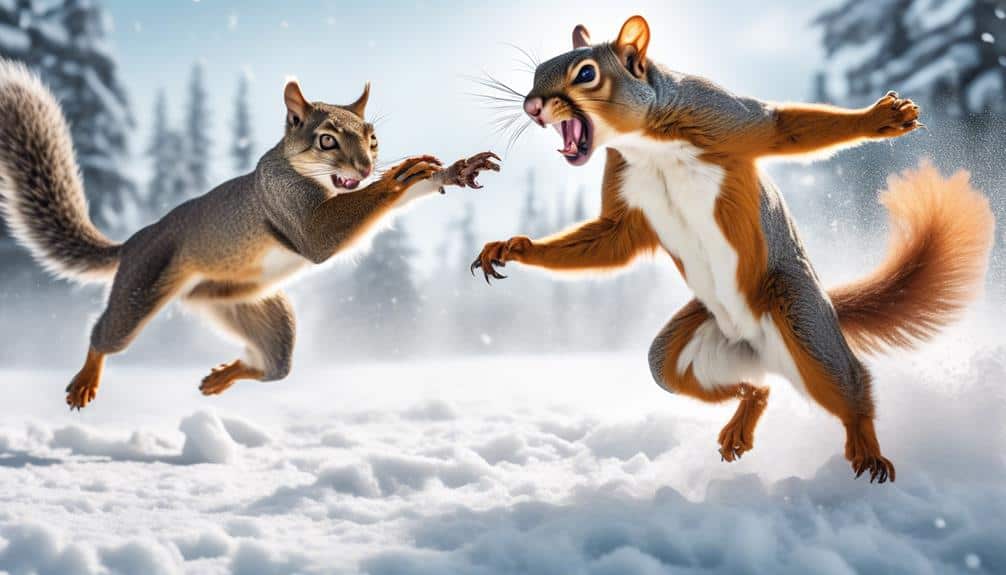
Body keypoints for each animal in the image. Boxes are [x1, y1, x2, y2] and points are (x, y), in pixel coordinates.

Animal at [0, 59, 500, 410]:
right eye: (326, 140)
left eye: (372, 137)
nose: (365, 167)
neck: (312, 179)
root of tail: (135, 241)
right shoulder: (296, 215)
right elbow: (327, 232)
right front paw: (400, 175)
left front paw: (452, 171)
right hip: (142, 285)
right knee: (105, 336)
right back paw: (86, 379)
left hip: (257, 310)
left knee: (272, 366)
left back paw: (223, 375)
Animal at [472, 15, 995, 483]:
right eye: (539, 69)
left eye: (586, 74)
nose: (531, 106)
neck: (645, 143)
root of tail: (757, 345)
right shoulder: (623, 196)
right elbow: (611, 240)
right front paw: (512, 248)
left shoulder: (722, 116)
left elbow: (779, 126)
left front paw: (882, 117)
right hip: (682, 349)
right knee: (752, 387)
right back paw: (741, 423)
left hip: (801, 318)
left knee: (850, 385)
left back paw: (866, 448)